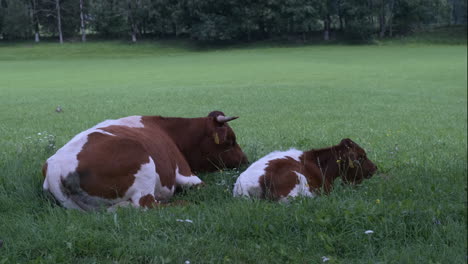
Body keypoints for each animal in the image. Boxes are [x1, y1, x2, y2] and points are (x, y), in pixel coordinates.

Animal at [42, 111, 249, 210]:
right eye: (231, 141)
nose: (245, 160)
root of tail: (55, 166)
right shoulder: (186, 174)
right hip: (144, 165)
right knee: (146, 205)